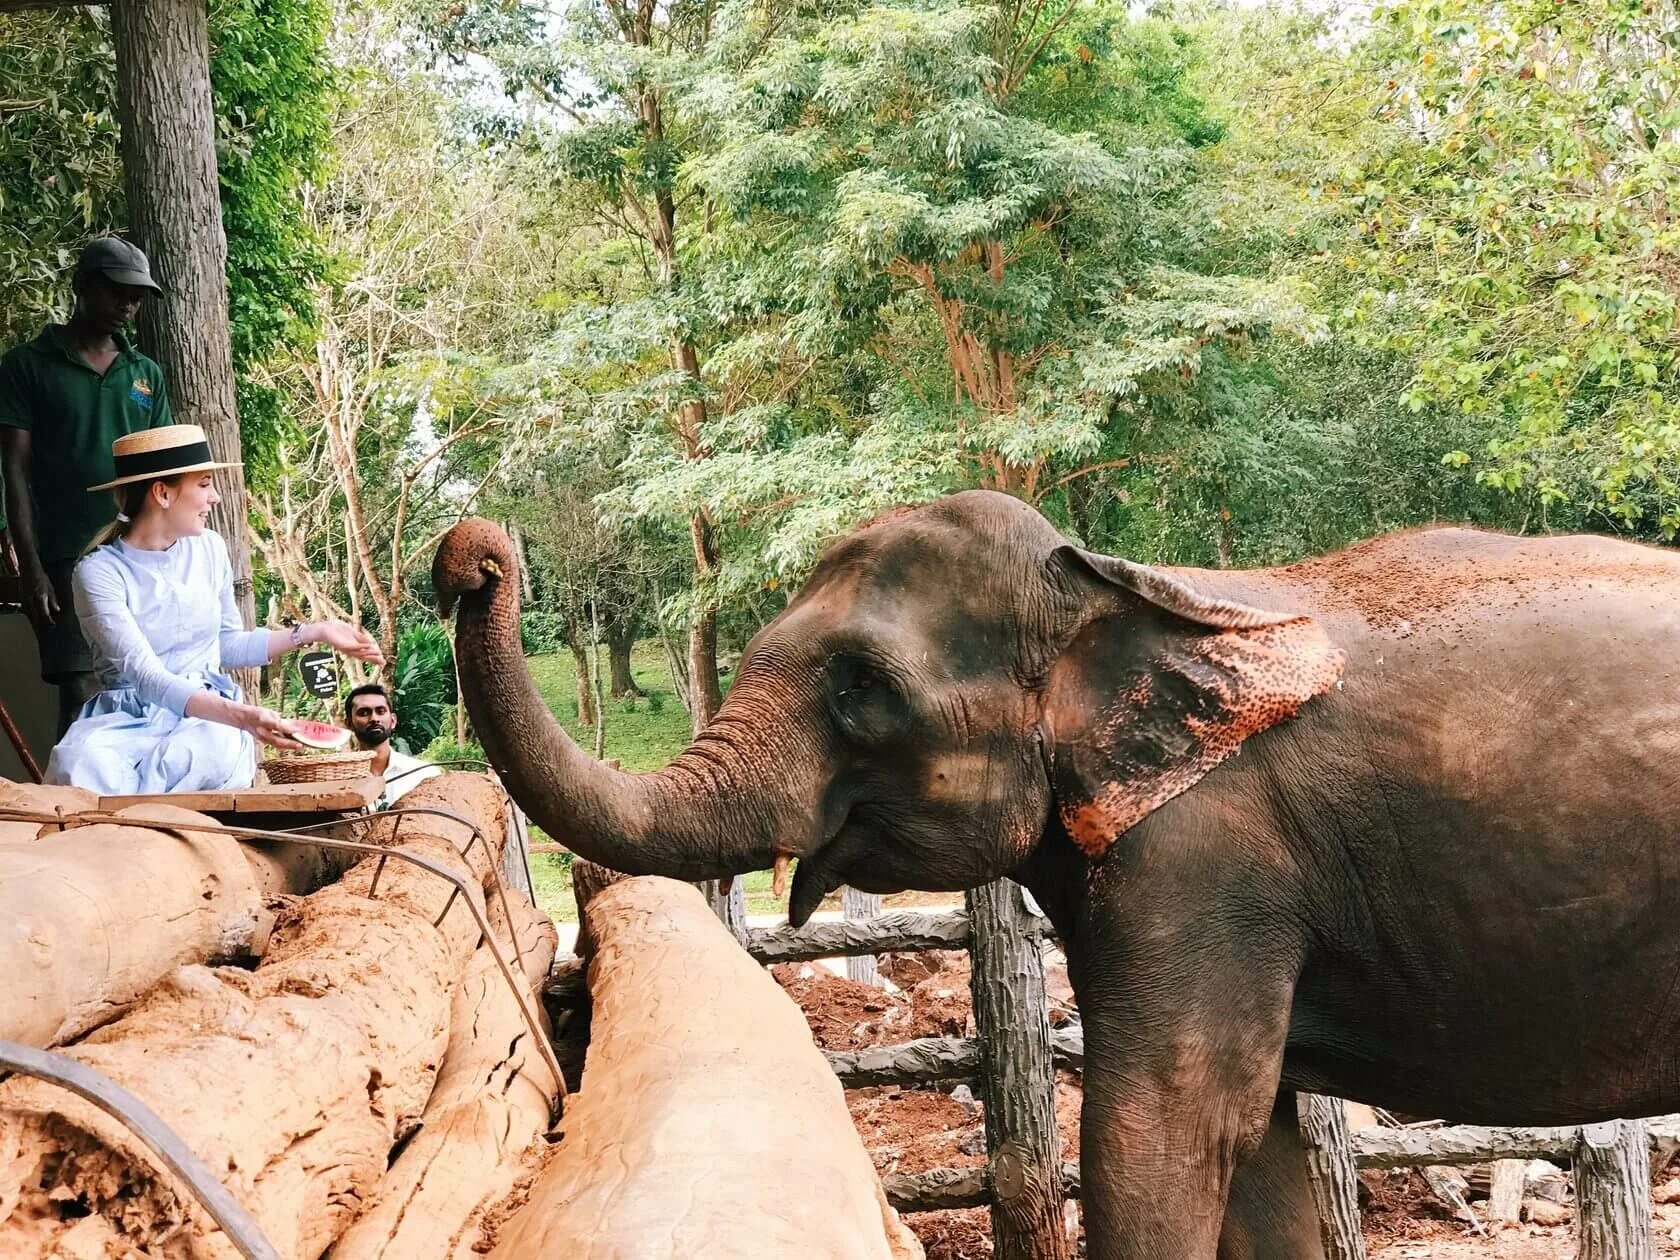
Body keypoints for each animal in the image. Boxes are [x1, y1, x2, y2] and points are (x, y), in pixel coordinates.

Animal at [436, 493, 1680, 1260]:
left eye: (860, 690)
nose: (469, 558)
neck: (1122, 589)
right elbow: (1256, 1143)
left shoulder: (1205, 859)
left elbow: (1160, 1133)